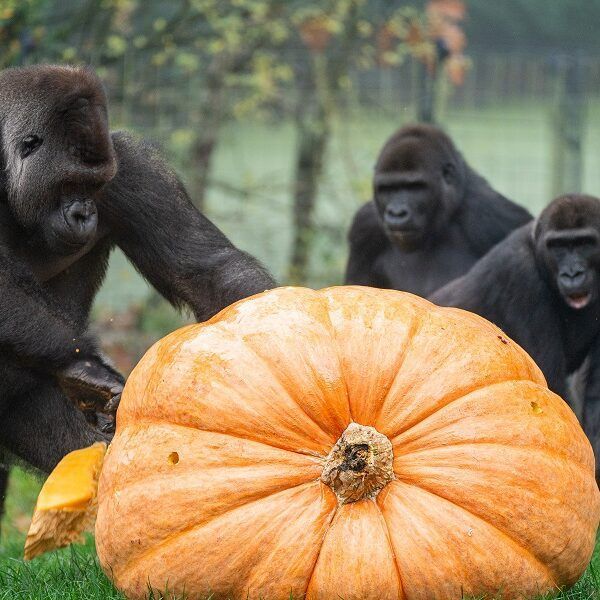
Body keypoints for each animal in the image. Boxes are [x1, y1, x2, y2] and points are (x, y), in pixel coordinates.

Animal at [0, 65, 274, 504]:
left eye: (94, 186)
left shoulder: (129, 164)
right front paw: (87, 365)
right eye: (69, 183)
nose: (84, 214)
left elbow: (205, 268)